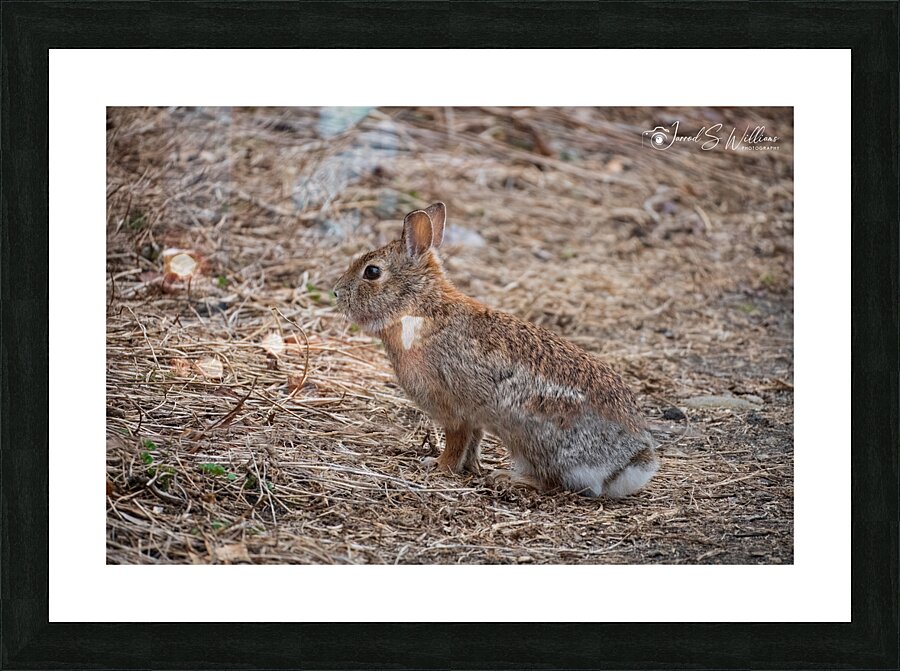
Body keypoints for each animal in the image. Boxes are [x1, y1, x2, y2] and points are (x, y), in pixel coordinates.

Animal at [334, 202, 658, 498]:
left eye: (372, 272)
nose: (336, 292)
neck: (418, 307)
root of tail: (630, 463)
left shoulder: (452, 408)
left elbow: (457, 440)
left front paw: (438, 466)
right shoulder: (476, 417)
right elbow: (473, 442)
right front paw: (470, 468)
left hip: (528, 433)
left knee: (553, 480)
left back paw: (511, 479)